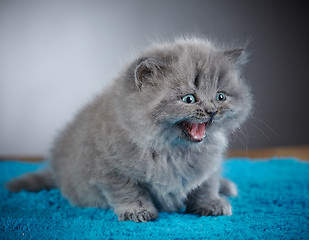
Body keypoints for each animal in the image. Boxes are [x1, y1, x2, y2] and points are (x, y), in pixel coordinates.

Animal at [6, 36, 250, 222]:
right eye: (188, 99)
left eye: (220, 96)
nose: (212, 110)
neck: (174, 151)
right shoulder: (108, 170)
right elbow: (129, 190)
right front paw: (138, 211)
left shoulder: (209, 163)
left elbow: (205, 184)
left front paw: (212, 203)